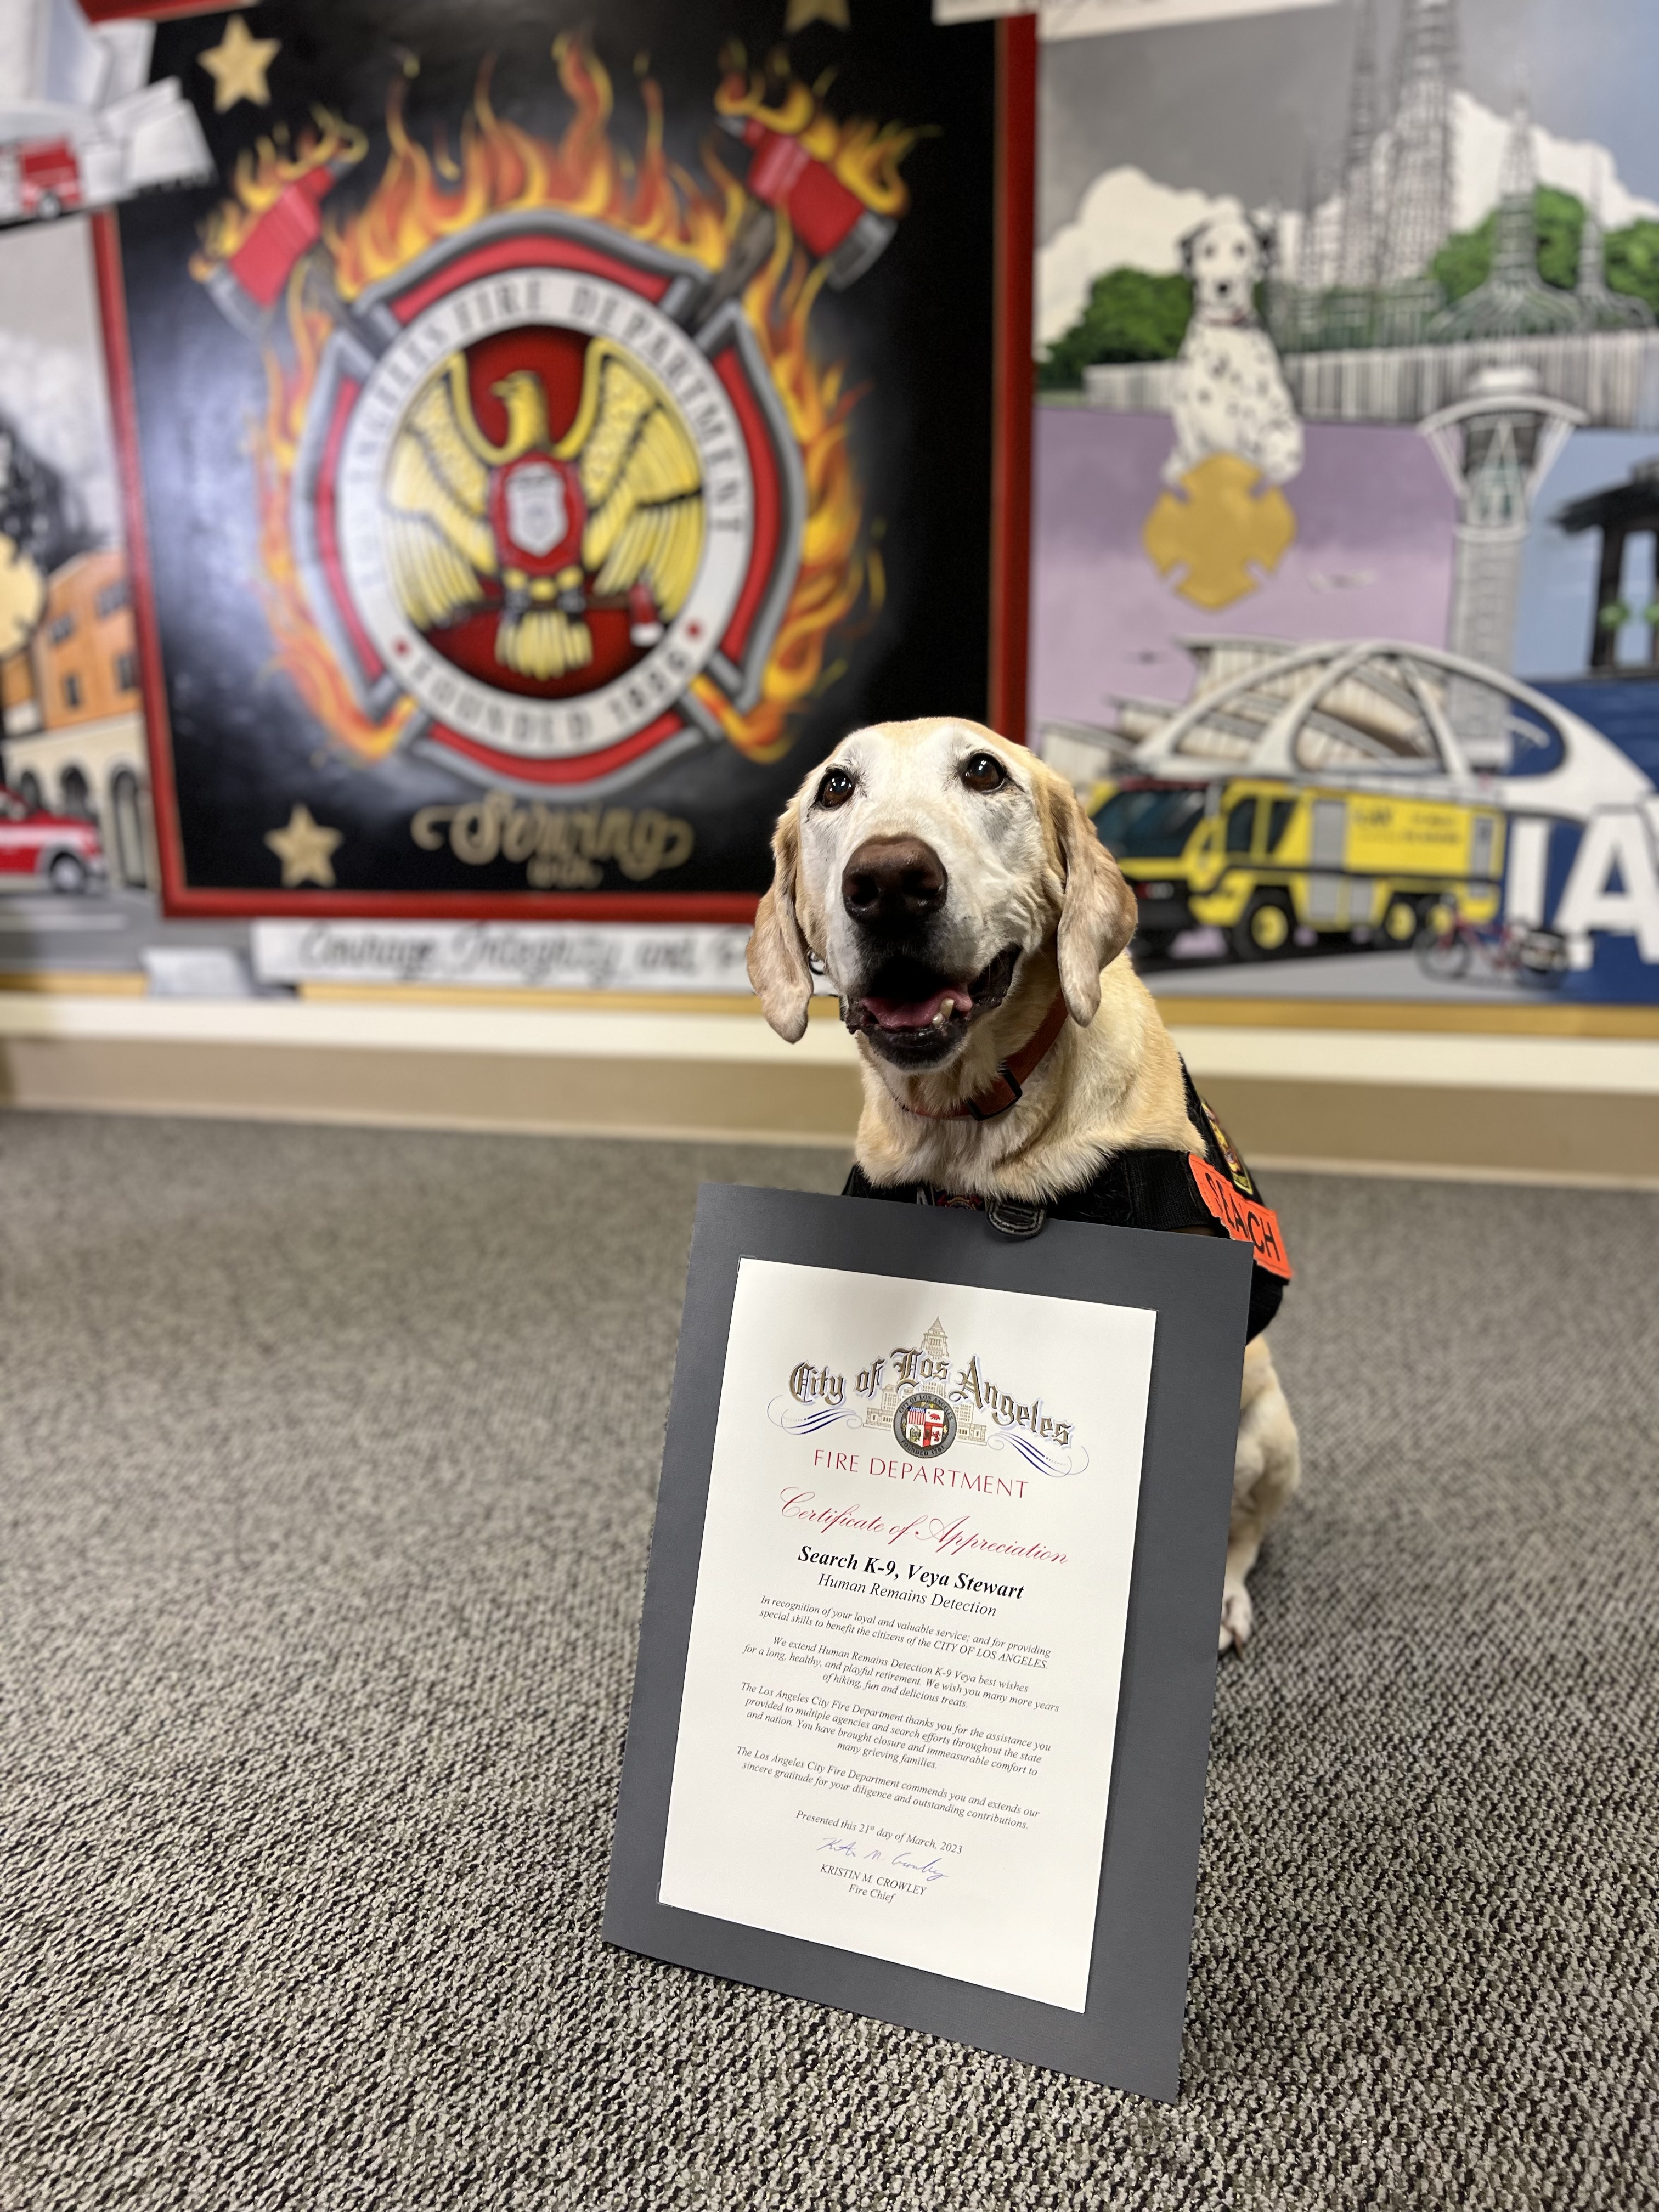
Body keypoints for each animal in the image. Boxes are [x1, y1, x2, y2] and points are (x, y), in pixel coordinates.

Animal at [747, 716, 1309, 1654]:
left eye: (984, 772)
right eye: (835, 788)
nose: (889, 880)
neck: (973, 1130)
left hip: (1266, 1429)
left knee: (1242, 1533)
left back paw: (1222, 1603)